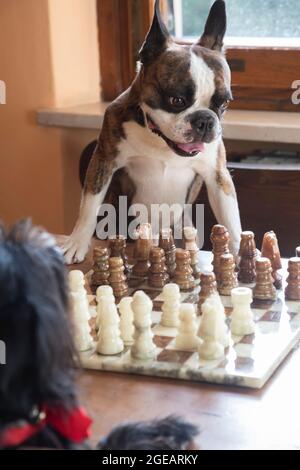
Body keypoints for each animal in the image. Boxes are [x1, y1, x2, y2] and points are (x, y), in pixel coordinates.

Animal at [62, 0, 241, 264]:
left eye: (223, 104)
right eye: (176, 100)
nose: (205, 120)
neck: (161, 141)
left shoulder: (217, 176)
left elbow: (232, 220)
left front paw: (243, 253)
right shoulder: (103, 161)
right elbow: (89, 206)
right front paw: (77, 242)